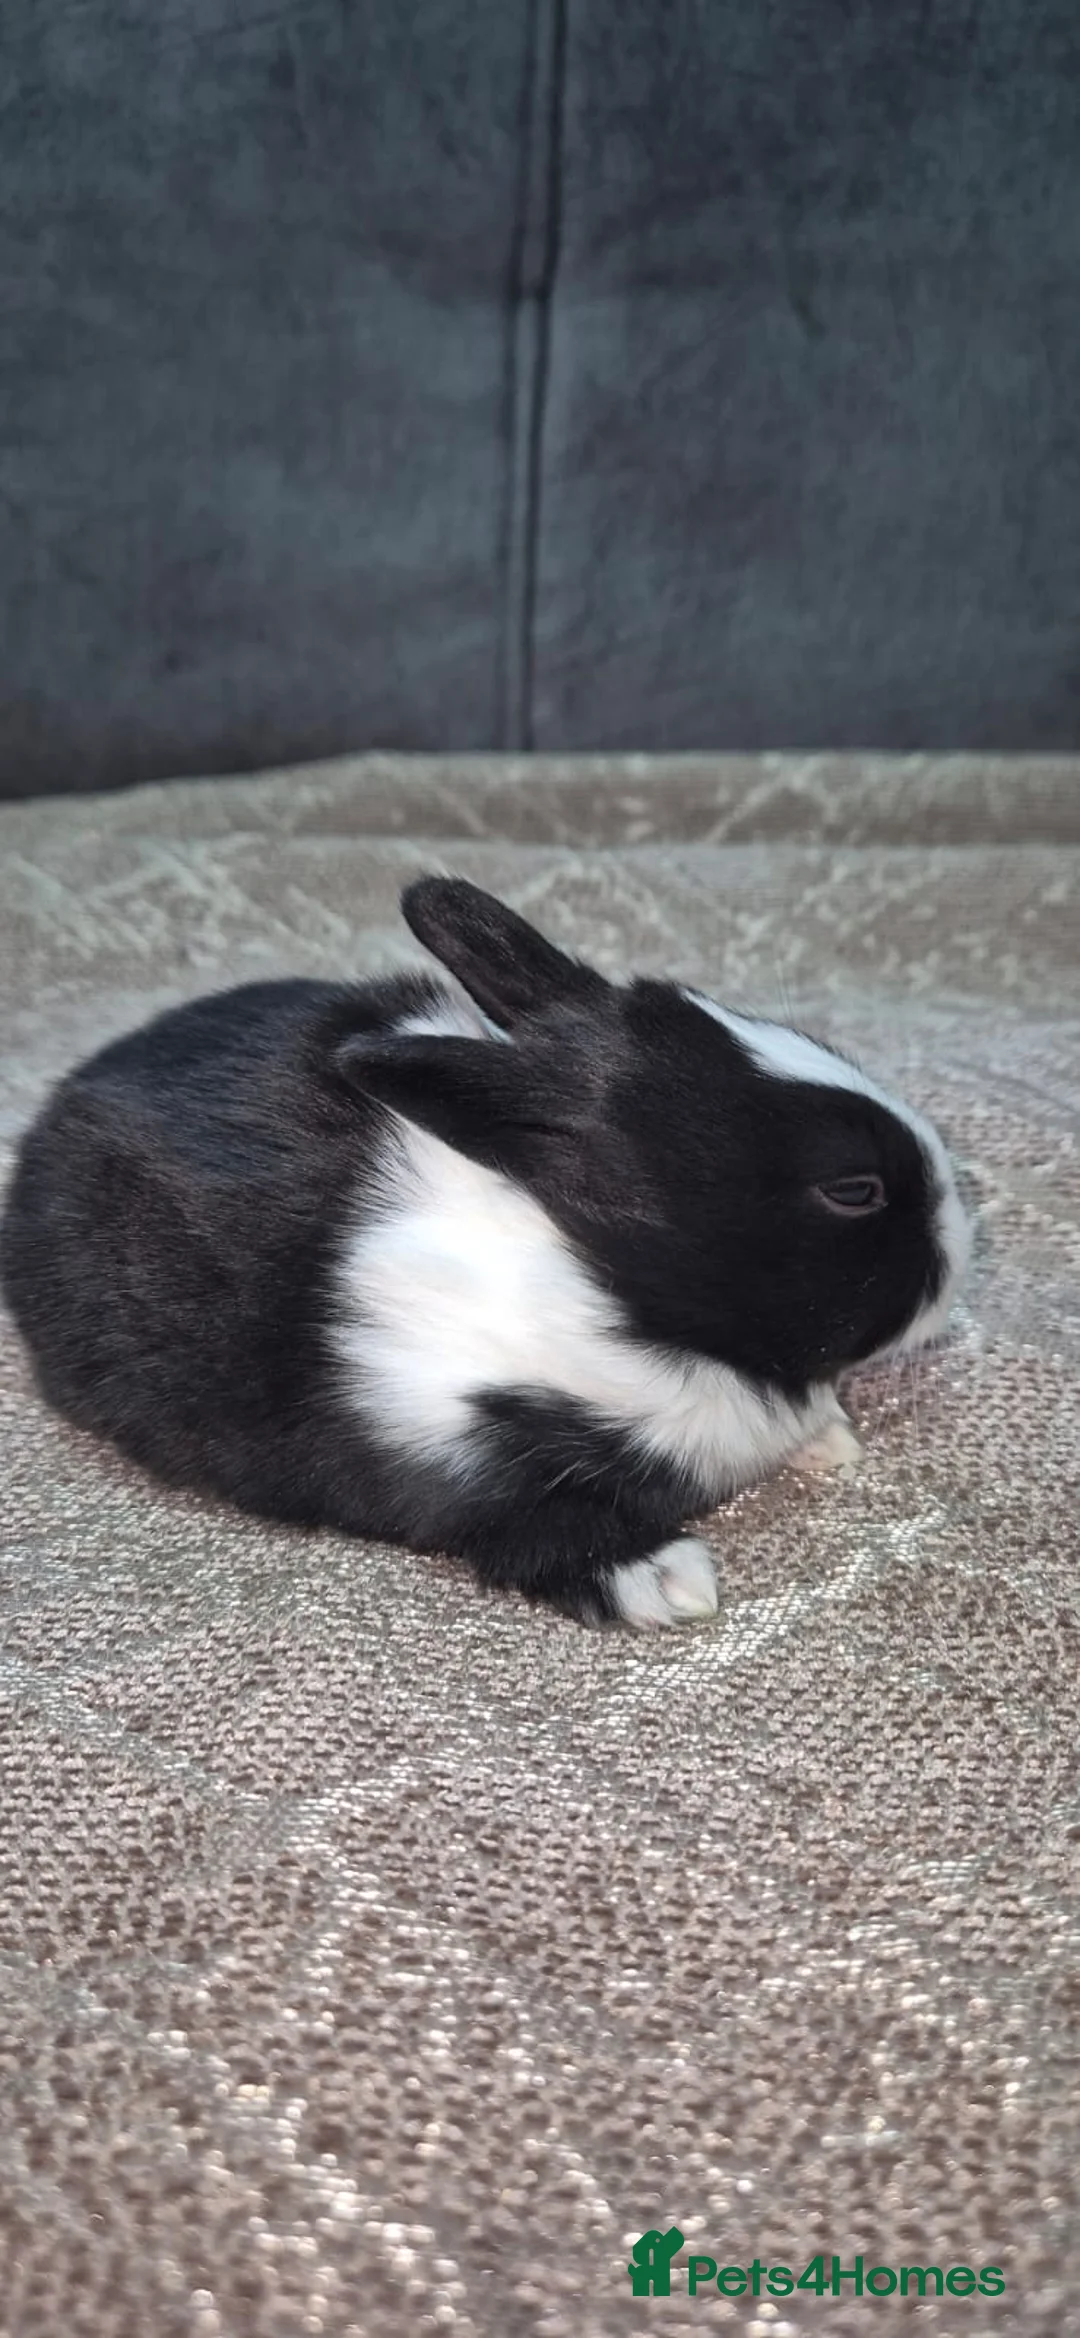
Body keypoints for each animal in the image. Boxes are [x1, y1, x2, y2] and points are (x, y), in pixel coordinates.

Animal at [0, 877, 972, 1628]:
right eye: (853, 1191)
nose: (963, 1244)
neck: (605, 1283)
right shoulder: (468, 1455)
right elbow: (539, 1532)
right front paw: (669, 1585)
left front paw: (830, 1443)